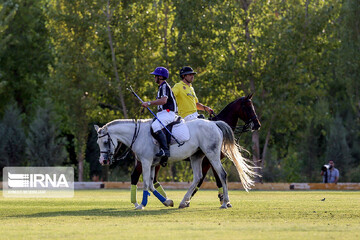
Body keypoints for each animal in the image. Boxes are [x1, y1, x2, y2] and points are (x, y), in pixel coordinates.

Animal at [94, 119, 255, 209]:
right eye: (98, 142)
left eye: (106, 142)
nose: (103, 161)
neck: (138, 135)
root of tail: (214, 123)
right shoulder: (152, 164)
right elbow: (151, 185)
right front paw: (168, 202)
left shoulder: (146, 162)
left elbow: (146, 184)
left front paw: (142, 205)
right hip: (196, 156)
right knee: (198, 177)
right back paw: (184, 202)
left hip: (212, 154)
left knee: (221, 174)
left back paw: (225, 203)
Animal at [126, 94, 258, 206]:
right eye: (248, 107)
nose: (257, 124)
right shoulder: (208, 161)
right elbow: (213, 179)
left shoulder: (206, 161)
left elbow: (202, 180)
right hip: (147, 161)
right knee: (135, 176)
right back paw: (138, 202)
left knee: (153, 180)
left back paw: (164, 199)